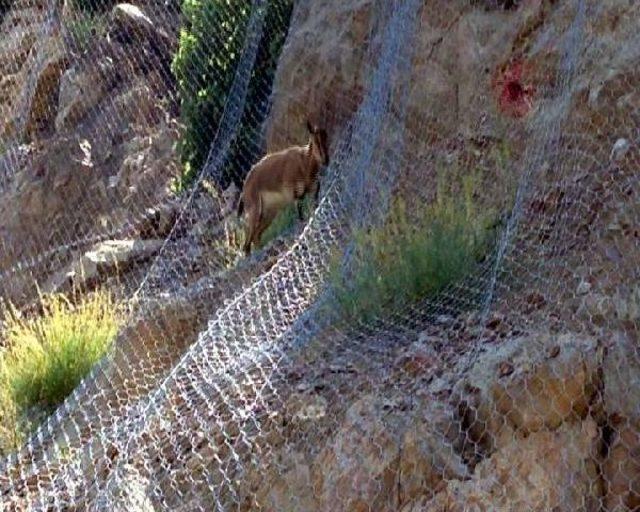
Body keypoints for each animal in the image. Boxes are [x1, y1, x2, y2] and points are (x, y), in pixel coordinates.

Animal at [239, 120, 330, 256]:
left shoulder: (312, 189)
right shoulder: (296, 196)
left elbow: (315, 206)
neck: (304, 164)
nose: (326, 160)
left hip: (269, 213)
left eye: (326, 137)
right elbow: (301, 218)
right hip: (255, 212)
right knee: (247, 244)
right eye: (315, 141)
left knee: (256, 237)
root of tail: (245, 188)